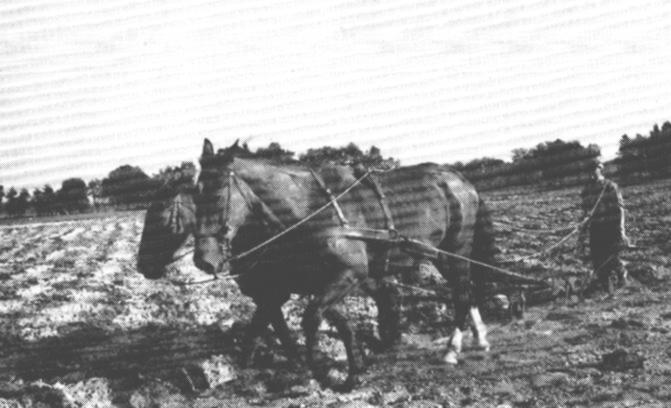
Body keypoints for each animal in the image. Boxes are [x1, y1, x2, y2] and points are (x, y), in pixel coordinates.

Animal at [186, 140, 496, 388]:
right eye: (194, 194)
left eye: (217, 195)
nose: (204, 259)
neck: (309, 210)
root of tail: (460, 180)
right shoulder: (312, 282)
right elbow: (293, 322)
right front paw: (353, 367)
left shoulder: (347, 275)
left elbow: (311, 319)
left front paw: (325, 372)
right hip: (446, 255)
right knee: (466, 291)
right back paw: (479, 338)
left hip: (455, 250)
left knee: (461, 293)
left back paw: (451, 350)